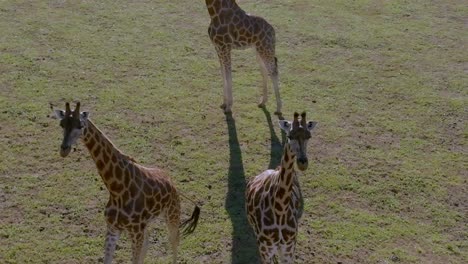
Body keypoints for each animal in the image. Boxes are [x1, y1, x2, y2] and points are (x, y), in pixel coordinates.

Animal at [53, 102, 199, 262]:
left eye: (80, 125)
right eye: (62, 124)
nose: (64, 149)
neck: (117, 190)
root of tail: (171, 182)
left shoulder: (135, 231)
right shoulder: (113, 228)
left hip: (172, 213)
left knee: (174, 241)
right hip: (148, 223)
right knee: (148, 243)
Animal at [245, 112, 318, 264]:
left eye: (309, 136)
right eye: (289, 136)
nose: (302, 162)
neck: (280, 210)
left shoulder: (289, 248)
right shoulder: (265, 249)